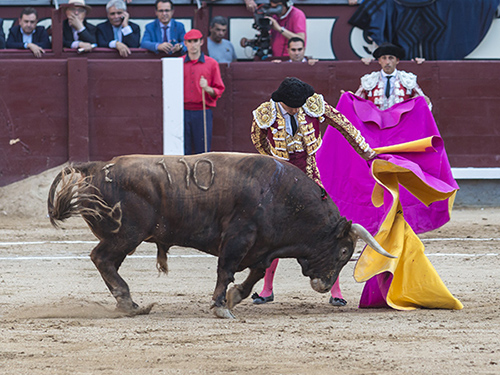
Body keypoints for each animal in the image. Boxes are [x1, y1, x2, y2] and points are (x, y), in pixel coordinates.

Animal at [47, 153, 392, 320]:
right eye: (344, 252)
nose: (323, 285)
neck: (281, 195)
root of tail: (95, 167)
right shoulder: (239, 238)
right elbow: (225, 270)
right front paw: (220, 306)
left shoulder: (262, 246)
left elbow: (255, 274)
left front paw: (234, 297)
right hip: (126, 235)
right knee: (102, 258)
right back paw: (128, 302)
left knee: (104, 261)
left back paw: (128, 303)